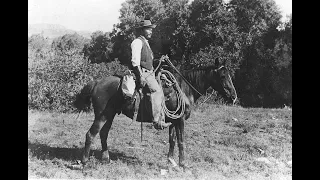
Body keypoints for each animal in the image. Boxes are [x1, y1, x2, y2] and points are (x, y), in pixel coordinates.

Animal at [74, 60, 236, 169]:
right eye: (222, 76)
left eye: (229, 75)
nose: (234, 97)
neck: (183, 90)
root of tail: (97, 82)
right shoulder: (181, 120)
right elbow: (181, 141)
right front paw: (183, 164)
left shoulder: (173, 121)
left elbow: (172, 140)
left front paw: (170, 161)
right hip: (102, 115)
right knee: (91, 134)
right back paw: (84, 162)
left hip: (110, 115)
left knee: (103, 134)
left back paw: (106, 158)